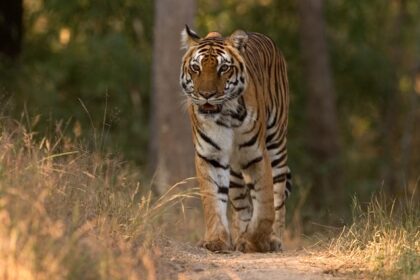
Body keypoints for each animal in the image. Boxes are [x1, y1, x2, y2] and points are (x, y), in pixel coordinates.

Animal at [179, 25, 290, 254]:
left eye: (223, 68)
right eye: (196, 68)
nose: (206, 95)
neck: (225, 115)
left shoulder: (256, 154)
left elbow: (265, 203)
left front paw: (257, 241)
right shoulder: (211, 156)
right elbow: (213, 200)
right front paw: (216, 241)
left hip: (276, 143)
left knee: (278, 195)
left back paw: (273, 239)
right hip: (236, 170)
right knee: (241, 203)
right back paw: (240, 237)